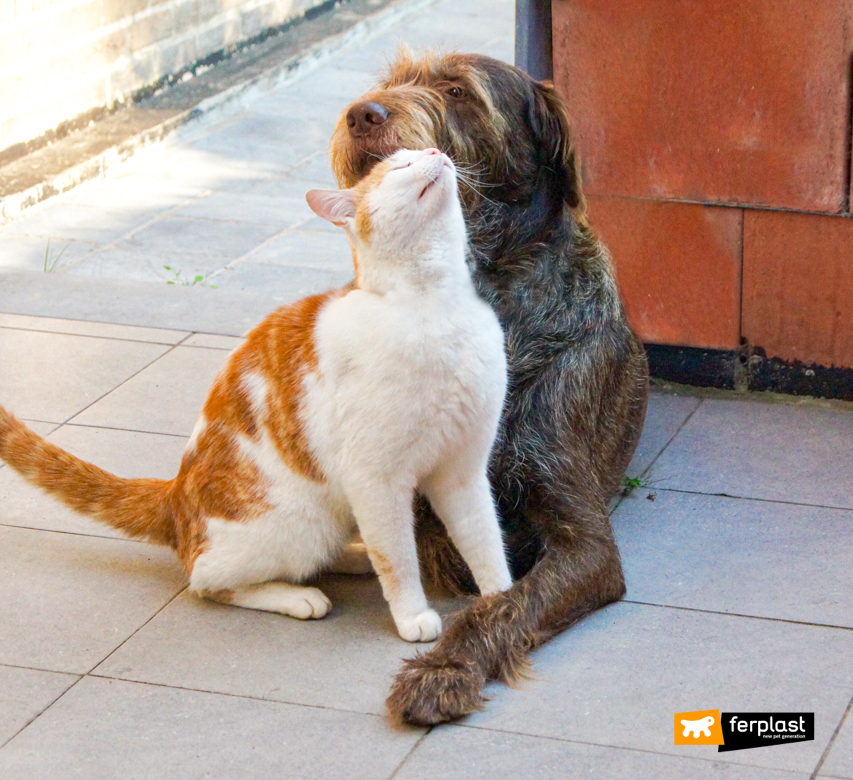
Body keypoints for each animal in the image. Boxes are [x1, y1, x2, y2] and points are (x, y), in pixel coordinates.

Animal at [0, 149, 512, 644]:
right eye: (399, 165)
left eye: (421, 152)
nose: (435, 150)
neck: (434, 302)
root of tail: (174, 494)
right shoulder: (376, 481)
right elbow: (398, 559)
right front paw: (412, 616)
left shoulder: (462, 472)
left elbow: (485, 540)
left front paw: (506, 604)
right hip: (299, 521)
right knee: (206, 579)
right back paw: (297, 595)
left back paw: (351, 556)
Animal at [330, 50, 648, 724]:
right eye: (389, 81)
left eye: (456, 90)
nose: (362, 113)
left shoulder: (584, 542)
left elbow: (501, 605)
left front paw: (444, 668)